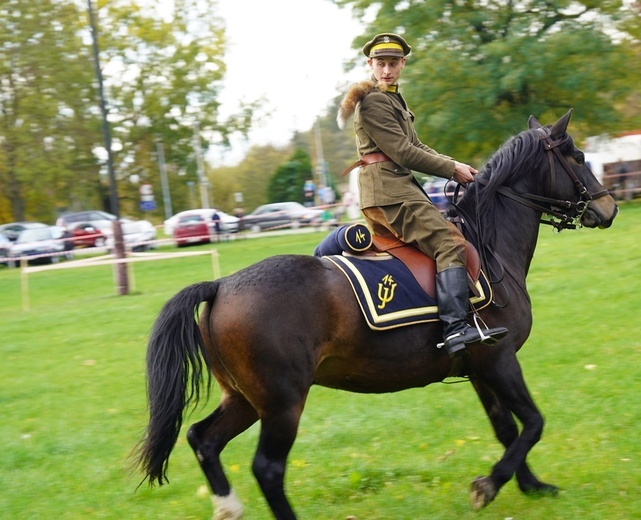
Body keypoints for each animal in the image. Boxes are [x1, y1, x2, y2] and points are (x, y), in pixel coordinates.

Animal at [134, 110, 616, 520]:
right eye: (578, 157)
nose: (608, 208)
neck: (489, 246)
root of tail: (221, 285)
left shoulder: (480, 366)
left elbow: (507, 429)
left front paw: (531, 485)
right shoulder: (500, 360)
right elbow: (533, 423)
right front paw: (490, 485)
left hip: (245, 398)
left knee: (204, 439)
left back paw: (227, 506)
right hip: (282, 402)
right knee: (267, 468)